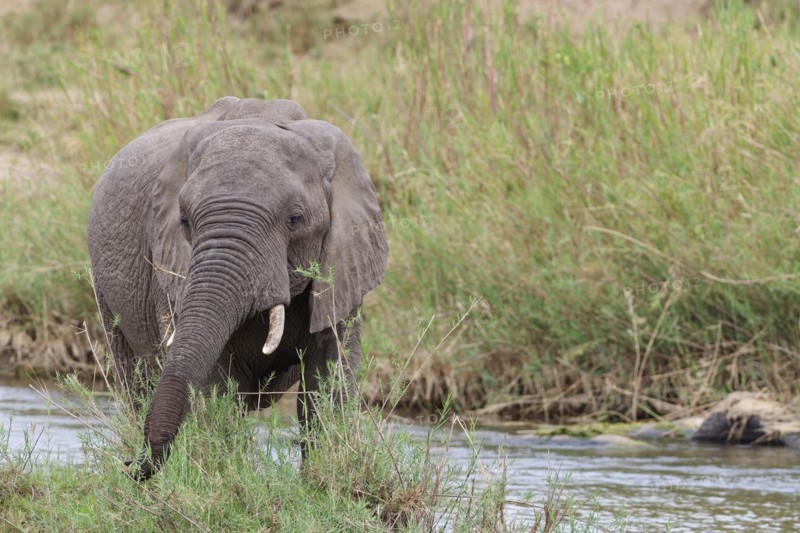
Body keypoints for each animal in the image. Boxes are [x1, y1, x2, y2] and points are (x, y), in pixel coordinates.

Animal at [86, 96, 388, 479]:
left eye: (295, 219)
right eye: (184, 220)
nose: (128, 465)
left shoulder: (344, 264)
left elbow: (328, 381)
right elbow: (216, 388)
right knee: (135, 380)